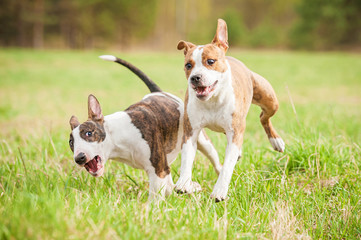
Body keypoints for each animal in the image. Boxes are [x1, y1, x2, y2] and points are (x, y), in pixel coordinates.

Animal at [67, 55, 219, 200]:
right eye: (71, 143)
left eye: (88, 133)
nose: (79, 158)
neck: (117, 139)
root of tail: (158, 92)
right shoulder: (162, 169)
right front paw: (191, 188)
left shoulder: (158, 171)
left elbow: (155, 198)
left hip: (200, 139)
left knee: (214, 158)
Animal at [174, 19, 284, 202]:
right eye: (188, 65)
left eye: (210, 61)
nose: (195, 77)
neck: (213, 100)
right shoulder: (191, 132)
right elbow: (187, 160)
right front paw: (184, 182)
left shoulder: (235, 132)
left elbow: (226, 166)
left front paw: (219, 191)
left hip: (270, 100)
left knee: (264, 116)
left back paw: (276, 141)